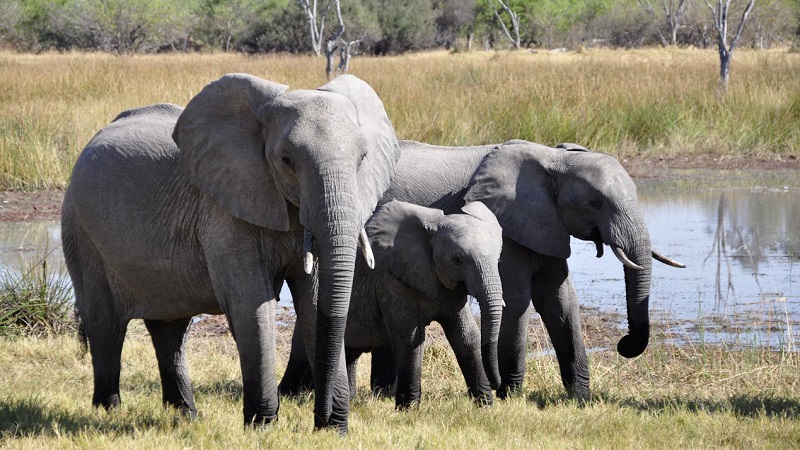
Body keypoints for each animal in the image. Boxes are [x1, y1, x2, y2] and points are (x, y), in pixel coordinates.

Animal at [59, 74, 400, 432]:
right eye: (286, 161)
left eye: (362, 159)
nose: (321, 420)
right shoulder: (223, 211)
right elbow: (251, 304)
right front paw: (261, 426)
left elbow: (314, 301)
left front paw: (332, 430)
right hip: (80, 229)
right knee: (105, 324)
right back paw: (108, 411)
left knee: (170, 329)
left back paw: (185, 415)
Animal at [284, 200, 504, 408]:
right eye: (457, 260)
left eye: (498, 258)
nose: (497, 384)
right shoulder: (392, 283)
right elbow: (411, 339)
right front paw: (409, 409)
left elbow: (466, 337)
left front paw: (485, 406)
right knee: (303, 351)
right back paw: (289, 397)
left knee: (350, 352)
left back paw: (347, 399)